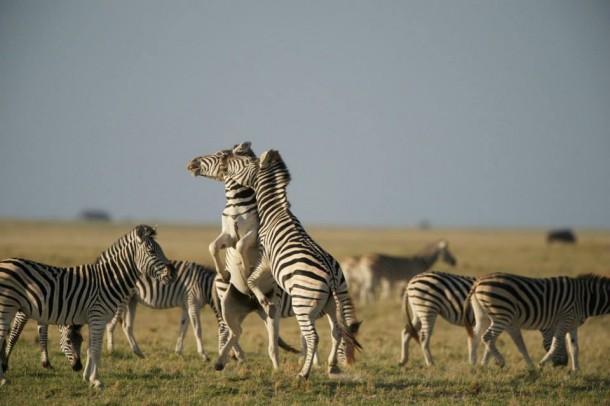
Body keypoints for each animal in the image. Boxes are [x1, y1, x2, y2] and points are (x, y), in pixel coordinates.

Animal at [0, 225, 175, 386]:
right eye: (152, 251)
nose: (172, 273)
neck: (109, 280)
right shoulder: (98, 316)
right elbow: (97, 349)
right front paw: (96, 380)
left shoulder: (94, 319)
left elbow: (91, 348)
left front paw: (86, 377)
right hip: (7, 307)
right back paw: (3, 379)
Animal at [184, 147, 356, 380]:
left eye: (243, 161)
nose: (192, 163)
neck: (274, 211)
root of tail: (331, 276)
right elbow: (226, 255)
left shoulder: (264, 254)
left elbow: (251, 275)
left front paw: (255, 287)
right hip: (331, 303)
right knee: (335, 331)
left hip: (302, 304)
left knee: (312, 337)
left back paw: (303, 373)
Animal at [400, 270, 564, 368]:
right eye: (559, 342)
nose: (563, 364)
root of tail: (412, 281)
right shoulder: (508, 322)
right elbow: (507, 342)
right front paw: (493, 361)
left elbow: (490, 341)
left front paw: (483, 362)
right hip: (427, 309)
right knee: (423, 337)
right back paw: (431, 363)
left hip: (418, 311)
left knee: (406, 332)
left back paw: (403, 360)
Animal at [466, 272, 608, 372]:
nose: (563, 364)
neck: (584, 298)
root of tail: (478, 282)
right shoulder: (566, 317)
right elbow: (556, 343)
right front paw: (542, 363)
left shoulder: (573, 323)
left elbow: (574, 347)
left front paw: (576, 369)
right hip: (502, 315)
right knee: (487, 337)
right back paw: (500, 361)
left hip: (483, 315)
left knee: (475, 336)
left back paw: (474, 364)